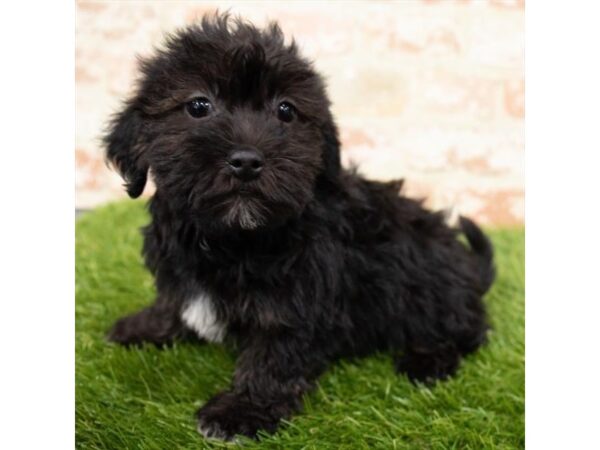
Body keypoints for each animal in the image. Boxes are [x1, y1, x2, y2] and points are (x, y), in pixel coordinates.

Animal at [104, 13, 496, 440]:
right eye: (198, 105)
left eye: (286, 111)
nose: (246, 161)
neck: (232, 236)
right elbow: (173, 301)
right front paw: (145, 327)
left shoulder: (298, 293)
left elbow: (275, 352)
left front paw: (243, 410)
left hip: (433, 284)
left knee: (466, 330)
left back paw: (428, 359)